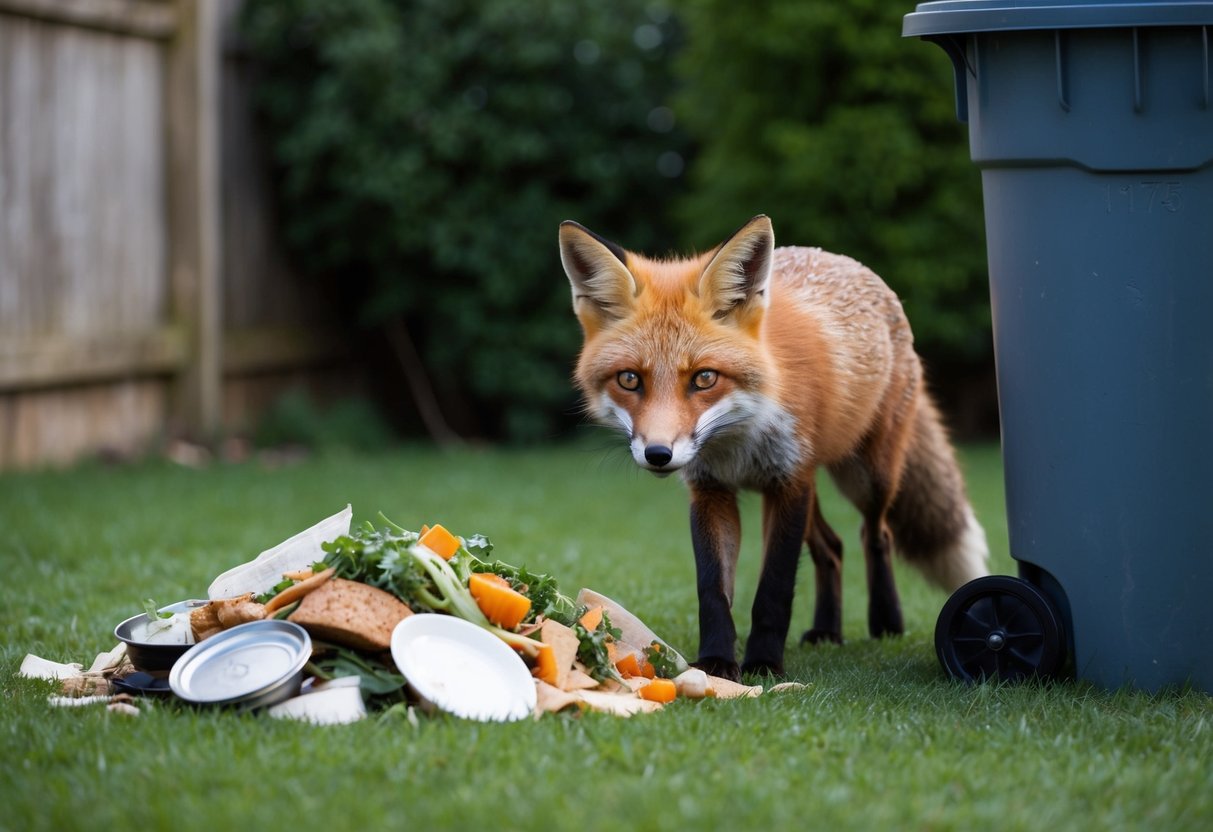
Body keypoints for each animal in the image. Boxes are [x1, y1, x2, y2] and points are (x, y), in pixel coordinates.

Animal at [559, 215, 989, 681]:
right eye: (630, 379)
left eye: (705, 378)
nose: (658, 454)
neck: (737, 442)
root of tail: (845, 260)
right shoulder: (712, 491)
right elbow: (712, 591)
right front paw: (716, 664)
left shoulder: (787, 484)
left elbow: (774, 589)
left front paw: (764, 663)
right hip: (810, 484)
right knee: (832, 547)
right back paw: (827, 630)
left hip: (865, 476)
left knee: (877, 533)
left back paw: (885, 621)